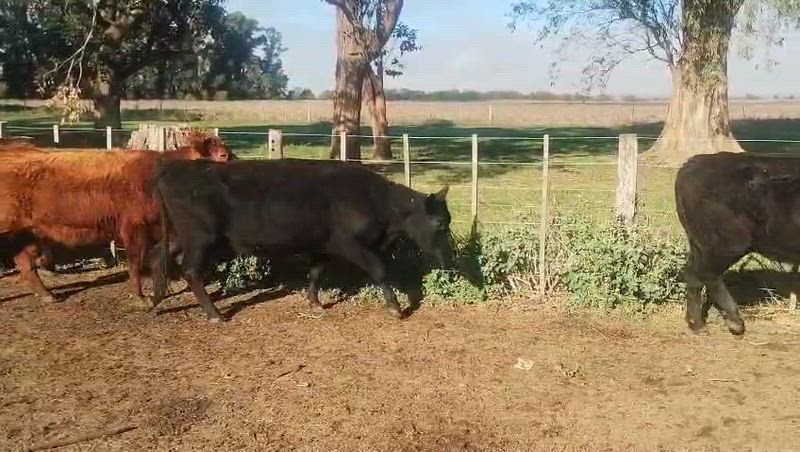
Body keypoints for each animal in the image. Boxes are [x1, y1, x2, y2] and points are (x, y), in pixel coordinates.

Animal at [0, 133, 232, 308]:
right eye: (222, 155)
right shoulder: (135, 228)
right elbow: (136, 263)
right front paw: (140, 298)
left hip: (27, 233)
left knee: (25, 263)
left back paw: (48, 296)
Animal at [151, 158, 456, 323]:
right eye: (440, 224)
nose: (450, 260)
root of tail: (177, 166)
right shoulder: (351, 245)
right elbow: (380, 270)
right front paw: (395, 308)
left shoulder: (324, 246)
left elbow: (316, 272)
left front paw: (314, 303)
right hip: (200, 238)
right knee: (191, 271)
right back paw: (214, 314)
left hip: (179, 236)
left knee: (157, 256)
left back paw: (152, 301)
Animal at [675, 151, 800, 335]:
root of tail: (693, 162)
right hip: (728, 245)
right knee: (707, 276)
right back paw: (733, 321)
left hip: (699, 244)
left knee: (693, 274)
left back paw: (696, 323)